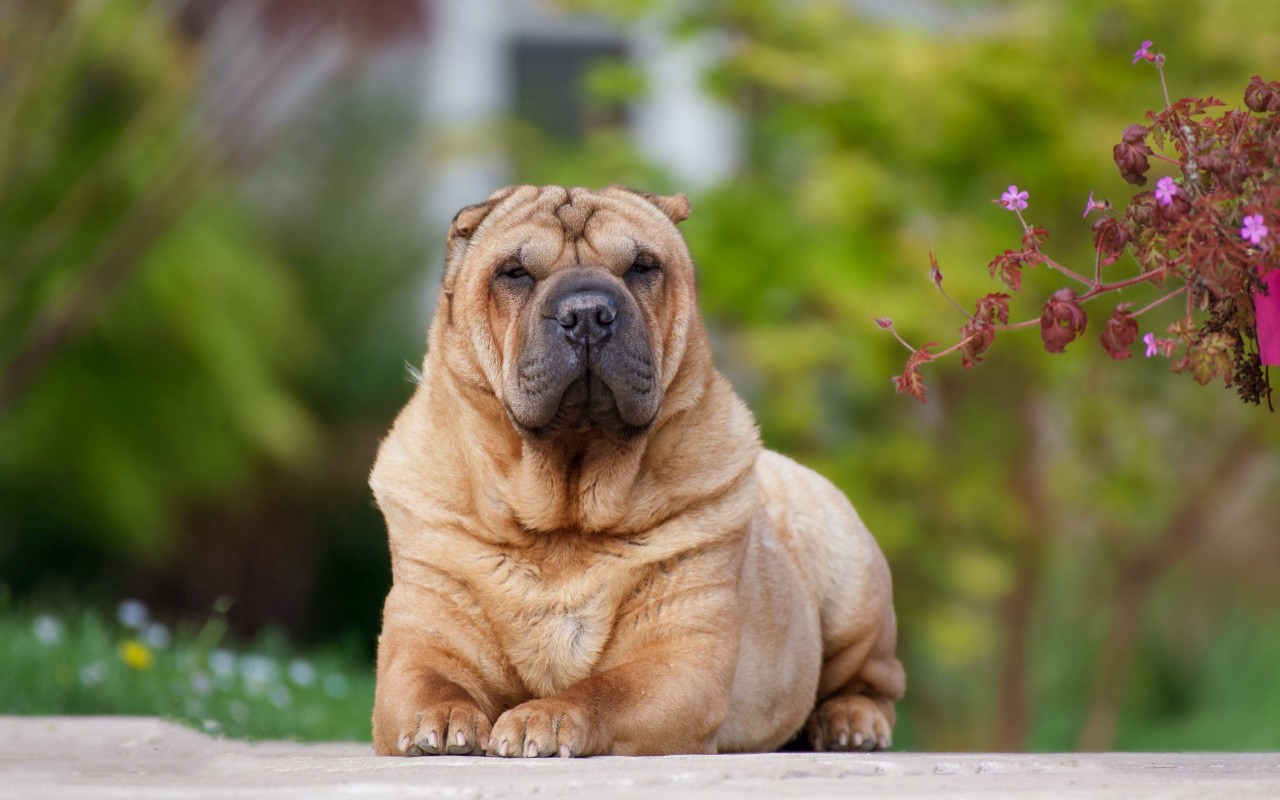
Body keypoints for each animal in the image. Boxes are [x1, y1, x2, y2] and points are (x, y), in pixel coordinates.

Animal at [371, 183, 906, 752]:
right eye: (514, 273)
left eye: (642, 267)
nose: (586, 313)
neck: (565, 517)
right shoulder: (424, 639)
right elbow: (430, 681)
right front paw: (443, 719)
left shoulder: (679, 657)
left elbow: (605, 690)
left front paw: (543, 718)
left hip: (851, 582)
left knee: (872, 679)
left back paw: (850, 722)